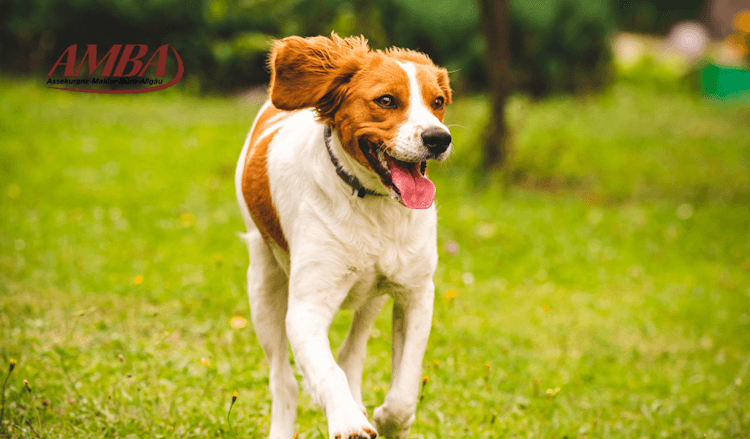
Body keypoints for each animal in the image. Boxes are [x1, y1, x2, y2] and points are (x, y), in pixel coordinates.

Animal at [236, 32, 452, 438]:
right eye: (386, 100)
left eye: (438, 102)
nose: (439, 138)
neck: (374, 207)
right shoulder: (305, 309)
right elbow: (326, 373)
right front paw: (349, 420)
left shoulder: (416, 293)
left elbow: (405, 389)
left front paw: (387, 420)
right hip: (263, 284)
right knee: (284, 380)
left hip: (372, 296)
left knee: (350, 352)